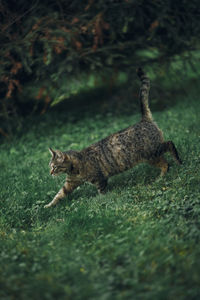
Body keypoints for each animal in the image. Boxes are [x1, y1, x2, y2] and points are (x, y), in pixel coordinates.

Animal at [44, 67, 182, 209]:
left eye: (54, 167)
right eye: (50, 166)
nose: (50, 173)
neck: (74, 167)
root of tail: (144, 120)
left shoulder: (99, 178)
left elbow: (101, 191)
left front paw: (101, 200)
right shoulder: (70, 183)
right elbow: (59, 194)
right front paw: (48, 206)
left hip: (151, 152)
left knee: (169, 145)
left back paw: (177, 163)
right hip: (152, 157)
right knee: (165, 163)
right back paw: (162, 176)